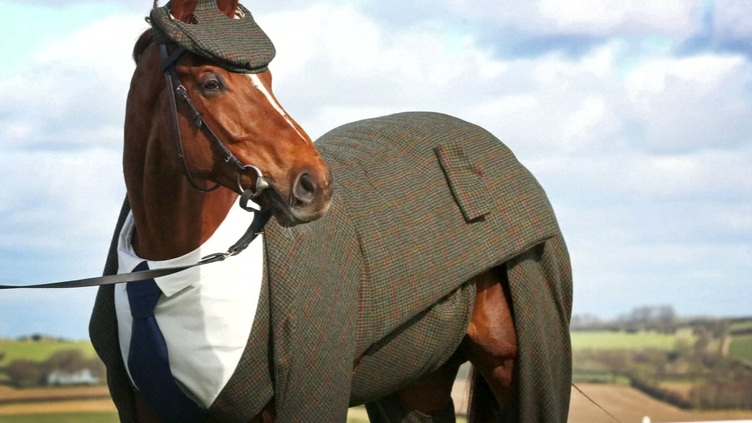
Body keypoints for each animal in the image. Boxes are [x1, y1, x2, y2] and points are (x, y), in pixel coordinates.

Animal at [89, 1, 573, 422]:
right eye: (210, 82)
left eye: (267, 77)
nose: (314, 185)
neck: (174, 269)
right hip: (419, 384)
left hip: (513, 364)